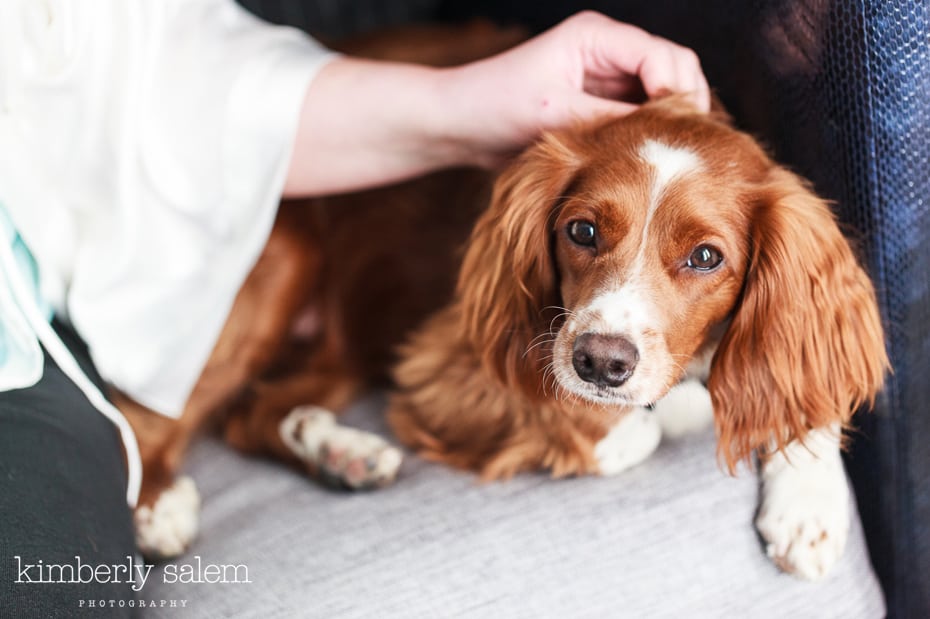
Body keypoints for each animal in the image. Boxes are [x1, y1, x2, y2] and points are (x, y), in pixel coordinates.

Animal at [121, 26, 884, 584]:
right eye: (581, 231)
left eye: (705, 257)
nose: (600, 362)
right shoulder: (449, 366)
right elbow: (629, 429)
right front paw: (671, 412)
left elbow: (797, 389)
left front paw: (807, 499)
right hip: (281, 266)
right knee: (151, 413)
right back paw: (158, 507)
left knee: (252, 414)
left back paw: (341, 452)